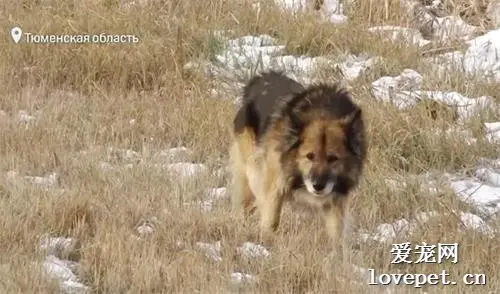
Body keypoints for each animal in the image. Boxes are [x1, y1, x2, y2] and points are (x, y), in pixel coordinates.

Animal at [229, 72, 366, 246]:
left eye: (333, 158)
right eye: (309, 156)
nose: (318, 186)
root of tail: (259, 79)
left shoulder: (336, 200)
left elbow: (337, 233)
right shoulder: (274, 188)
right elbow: (271, 221)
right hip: (252, 170)